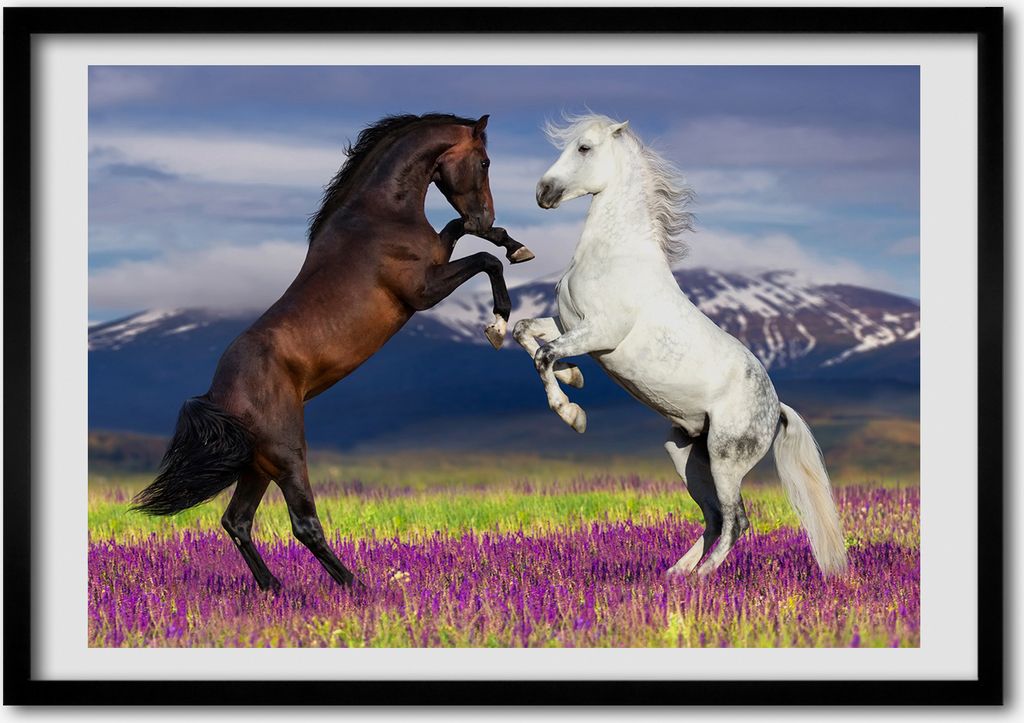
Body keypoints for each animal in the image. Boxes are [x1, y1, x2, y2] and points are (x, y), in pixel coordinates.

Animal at [132, 113, 535, 591]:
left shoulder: (438, 256)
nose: (485, 212)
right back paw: (356, 586)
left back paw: (274, 588)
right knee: (303, 524)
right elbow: (485, 261)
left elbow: (465, 236)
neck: (380, 215)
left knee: (237, 521)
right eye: (486, 161)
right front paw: (498, 323)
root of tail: (218, 395)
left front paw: (514, 244)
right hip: (288, 455)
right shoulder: (423, 291)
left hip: (258, 465)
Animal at [514, 114, 847, 578]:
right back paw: (675, 575)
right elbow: (524, 332)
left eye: (584, 148)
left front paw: (572, 414)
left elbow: (544, 355)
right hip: (686, 454)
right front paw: (574, 377)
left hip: (726, 459)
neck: (614, 255)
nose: (543, 192)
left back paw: (702, 578)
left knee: (737, 520)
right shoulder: (569, 324)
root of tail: (776, 408)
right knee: (713, 517)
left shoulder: (600, 333)